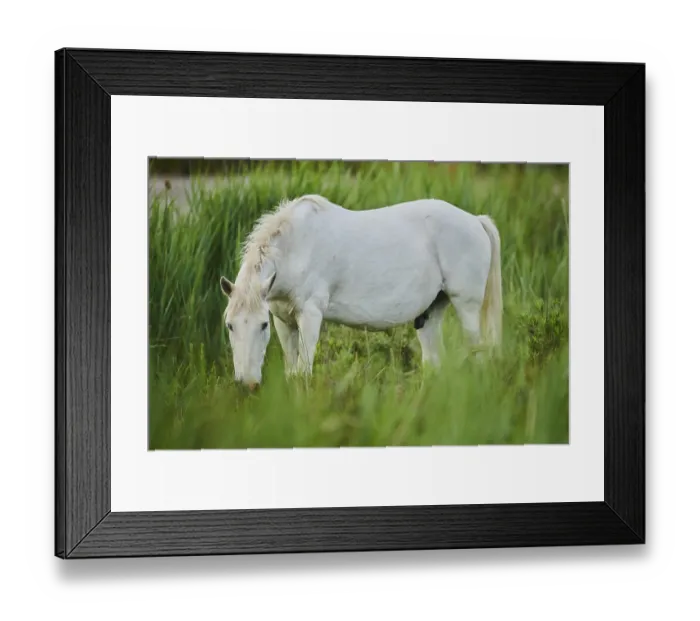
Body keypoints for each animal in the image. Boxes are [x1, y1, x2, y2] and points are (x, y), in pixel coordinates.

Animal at [220, 194, 502, 389]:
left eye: (262, 325)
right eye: (230, 325)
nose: (247, 384)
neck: (297, 247)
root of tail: (476, 220)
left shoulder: (309, 316)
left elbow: (303, 373)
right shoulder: (284, 320)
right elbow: (292, 373)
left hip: (466, 307)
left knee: (478, 353)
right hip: (431, 312)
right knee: (434, 363)